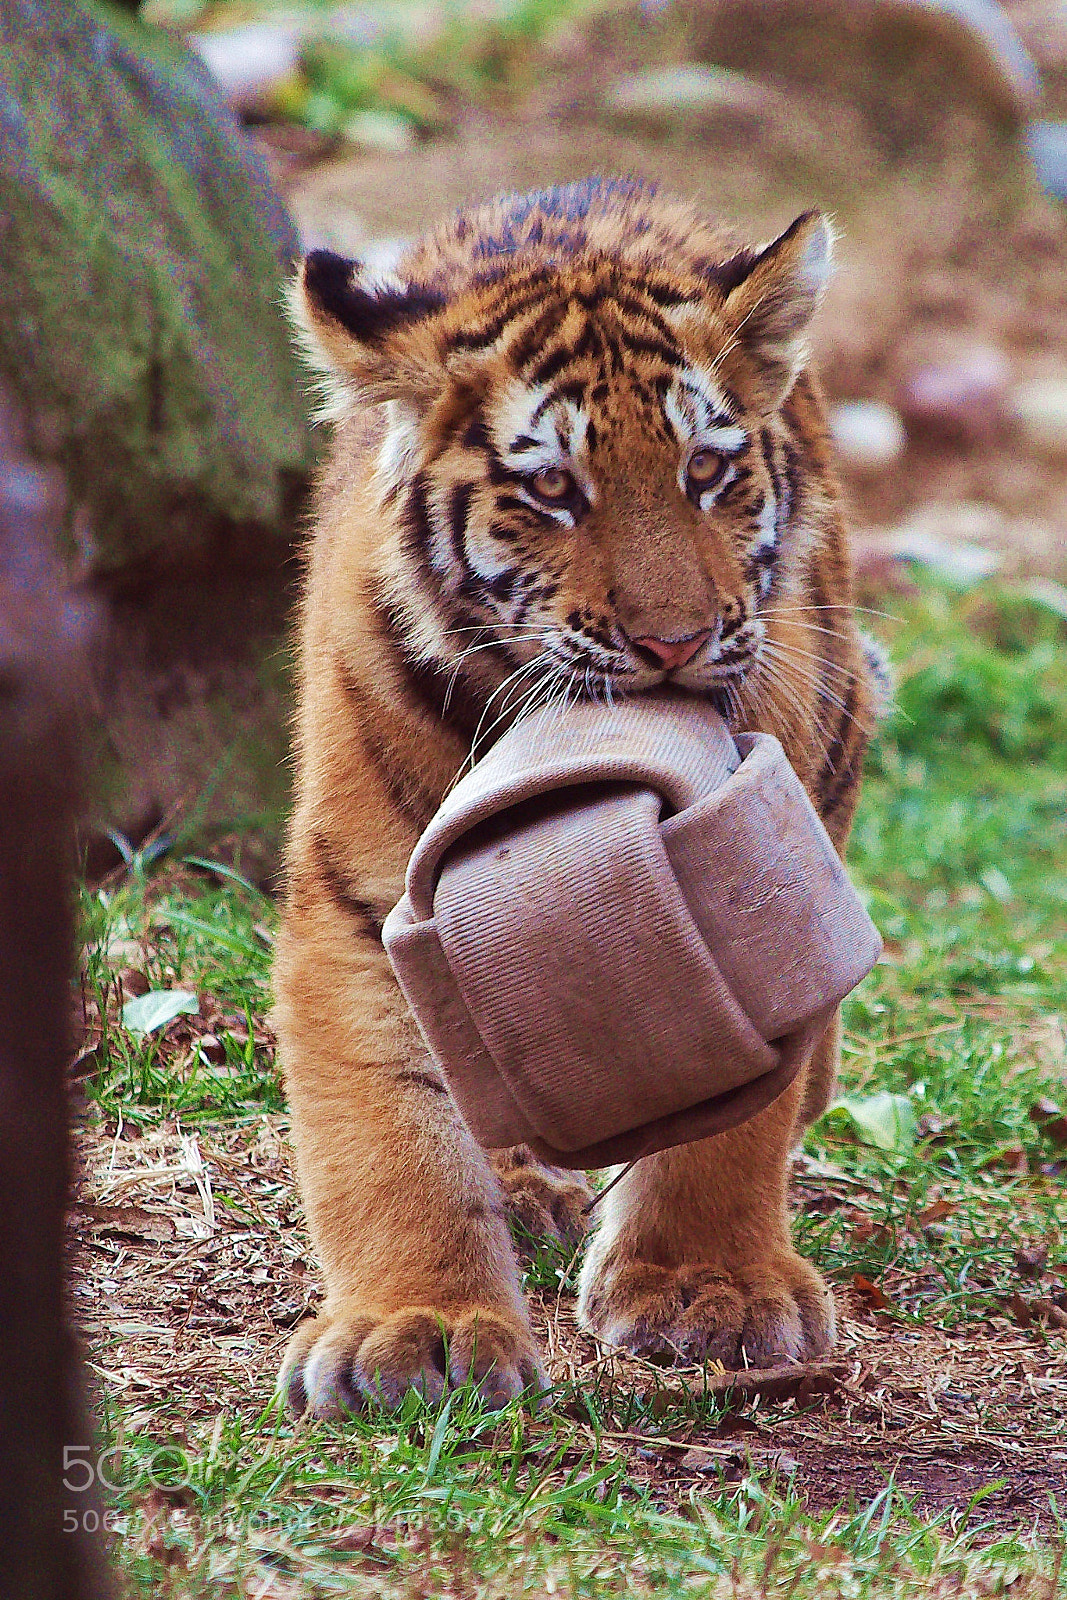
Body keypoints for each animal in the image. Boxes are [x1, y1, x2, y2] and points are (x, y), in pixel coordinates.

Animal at [274, 177, 882, 1417]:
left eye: (706, 472)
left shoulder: (754, 863)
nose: (675, 642)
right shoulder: (353, 893)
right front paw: (413, 1324)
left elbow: (735, 1113)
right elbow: (384, 1124)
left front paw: (708, 1288)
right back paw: (513, 1185)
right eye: (552, 488)